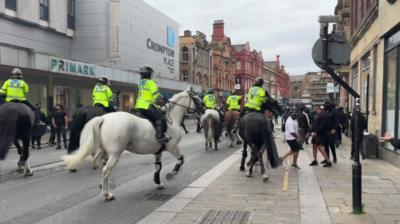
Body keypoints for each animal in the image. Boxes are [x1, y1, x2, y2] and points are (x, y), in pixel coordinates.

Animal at [65, 88, 203, 200]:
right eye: (197, 99)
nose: (203, 111)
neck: (171, 121)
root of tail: (104, 118)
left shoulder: (158, 151)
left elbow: (158, 167)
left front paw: (158, 183)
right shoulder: (172, 147)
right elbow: (181, 159)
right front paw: (172, 174)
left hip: (103, 151)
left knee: (98, 163)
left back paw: (102, 185)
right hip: (114, 154)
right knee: (105, 170)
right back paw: (106, 194)